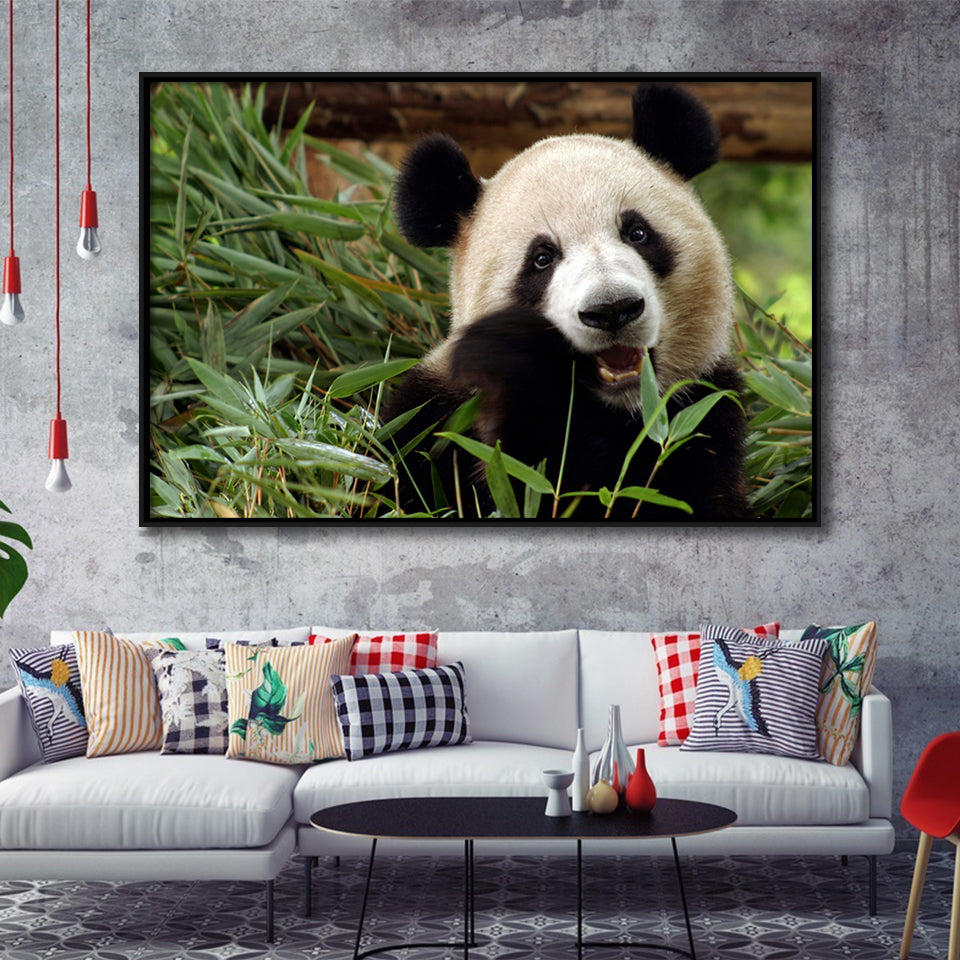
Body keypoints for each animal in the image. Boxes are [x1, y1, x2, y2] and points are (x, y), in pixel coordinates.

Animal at [384, 82, 749, 520]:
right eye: (542, 258)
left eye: (638, 233)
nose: (612, 310)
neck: (617, 411)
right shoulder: (436, 419)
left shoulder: (703, 413)